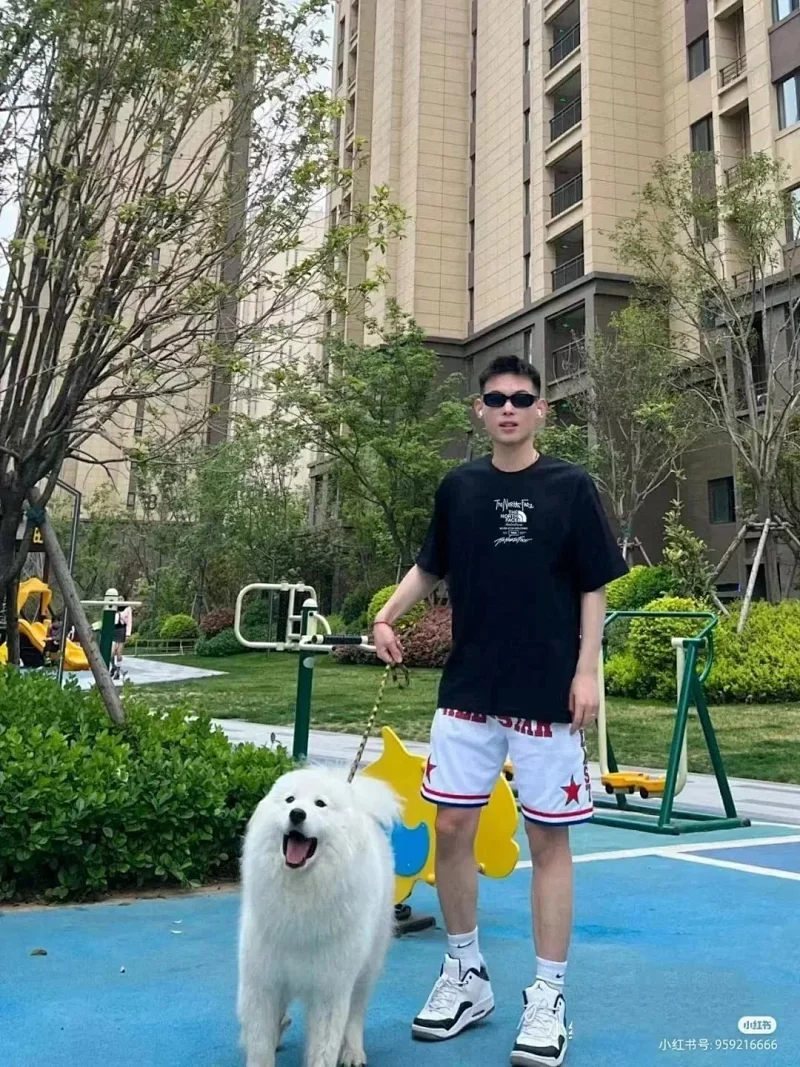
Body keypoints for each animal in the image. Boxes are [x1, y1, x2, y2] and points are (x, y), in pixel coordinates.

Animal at [237, 766, 401, 1067]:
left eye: (320, 804)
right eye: (289, 800)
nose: (297, 814)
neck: (300, 895)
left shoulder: (329, 989)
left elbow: (324, 1046)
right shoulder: (264, 981)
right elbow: (260, 1043)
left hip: (365, 967)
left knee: (356, 1015)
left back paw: (353, 1053)